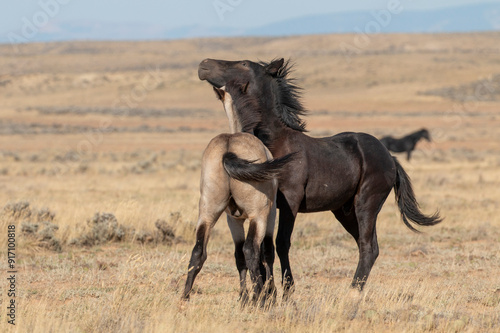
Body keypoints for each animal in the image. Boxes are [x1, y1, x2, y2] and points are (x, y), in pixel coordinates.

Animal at [197, 57, 444, 296]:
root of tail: (390, 157)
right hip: (344, 211)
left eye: (244, 64)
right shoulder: (269, 206)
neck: (275, 141)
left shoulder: (290, 202)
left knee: (368, 246)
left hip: (366, 204)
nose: (203, 64)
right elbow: (268, 247)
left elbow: (282, 243)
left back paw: (353, 291)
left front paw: (288, 290)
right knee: (367, 245)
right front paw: (270, 291)